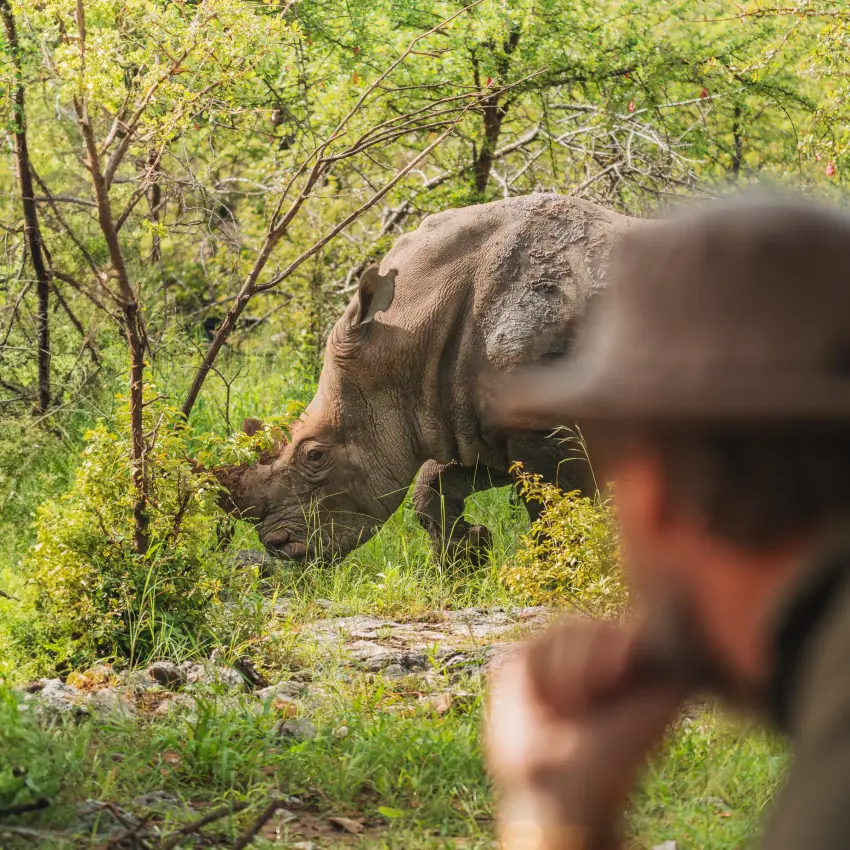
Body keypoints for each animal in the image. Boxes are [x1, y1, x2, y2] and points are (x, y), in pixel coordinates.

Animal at [214, 194, 636, 564]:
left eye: (315, 455)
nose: (278, 547)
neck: (407, 333)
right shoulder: (478, 423)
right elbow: (430, 488)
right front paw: (469, 554)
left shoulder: (540, 425)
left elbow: (557, 513)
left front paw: (558, 580)